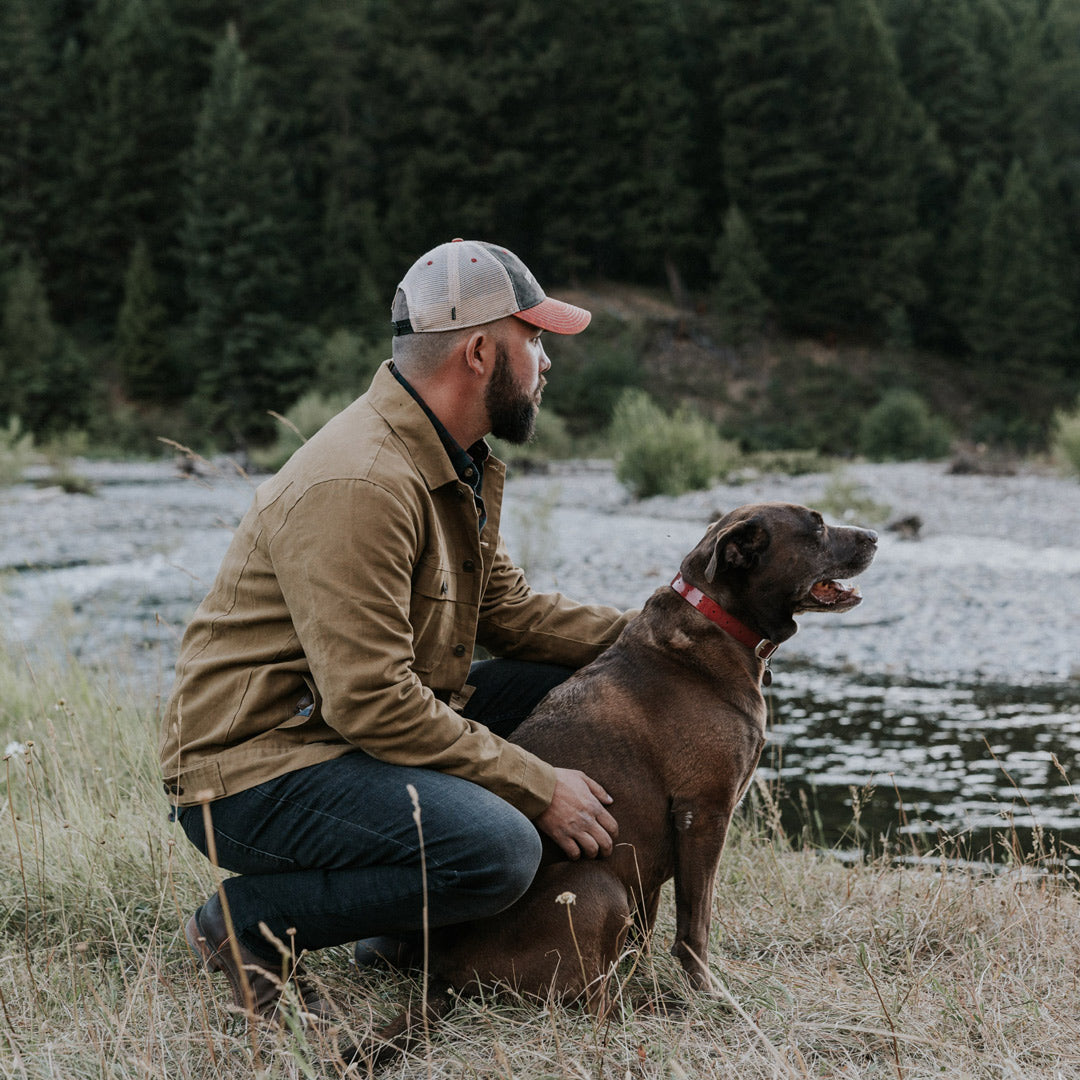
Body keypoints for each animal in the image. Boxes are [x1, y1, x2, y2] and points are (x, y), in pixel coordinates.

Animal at [362, 505, 876, 1054]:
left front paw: (657, 977)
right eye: (816, 527)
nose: (874, 535)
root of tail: (445, 978)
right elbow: (695, 926)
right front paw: (709, 994)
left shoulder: (652, 857)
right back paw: (659, 1015)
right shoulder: (703, 815)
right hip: (598, 887)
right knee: (597, 1008)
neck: (716, 621)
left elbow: (648, 935)